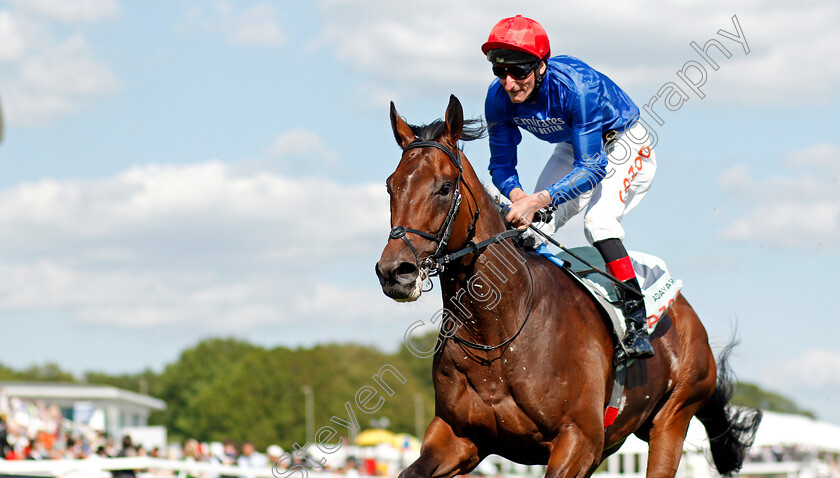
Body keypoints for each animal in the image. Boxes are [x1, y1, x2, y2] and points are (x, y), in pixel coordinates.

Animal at [374, 94, 760, 478]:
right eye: (391, 186)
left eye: (443, 187)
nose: (395, 271)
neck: (497, 333)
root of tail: (686, 314)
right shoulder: (460, 437)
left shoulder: (579, 441)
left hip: (672, 420)